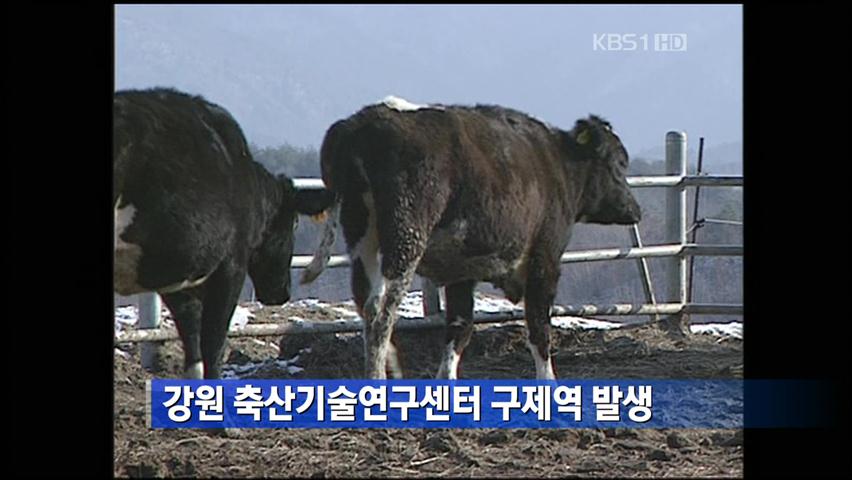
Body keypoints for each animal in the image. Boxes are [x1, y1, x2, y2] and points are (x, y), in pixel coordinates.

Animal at [115, 86, 334, 378]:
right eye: (295, 222)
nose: (282, 293)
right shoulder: (230, 268)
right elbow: (213, 347)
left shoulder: (178, 283)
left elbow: (193, 350)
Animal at [302, 96, 640, 378]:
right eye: (618, 163)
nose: (635, 209)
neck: (559, 164)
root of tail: (360, 122)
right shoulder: (545, 258)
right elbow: (539, 326)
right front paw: (548, 382)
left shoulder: (461, 269)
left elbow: (459, 328)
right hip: (405, 239)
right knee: (382, 311)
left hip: (362, 235)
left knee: (366, 304)